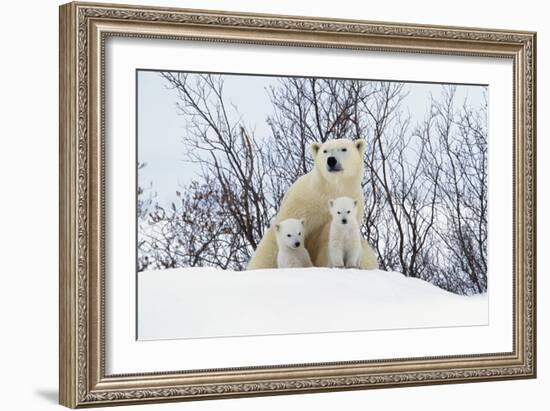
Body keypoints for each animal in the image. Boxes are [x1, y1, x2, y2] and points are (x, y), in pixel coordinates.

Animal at [249, 140, 380, 272]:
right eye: (325, 151)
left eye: (344, 149)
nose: (331, 160)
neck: (331, 189)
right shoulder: (301, 202)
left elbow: (329, 241)